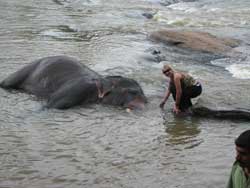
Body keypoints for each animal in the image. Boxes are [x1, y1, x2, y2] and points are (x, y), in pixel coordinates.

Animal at [0, 55, 146, 109]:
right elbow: (50, 104)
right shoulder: (79, 88)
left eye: (142, 91)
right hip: (24, 71)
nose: (146, 101)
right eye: (132, 92)